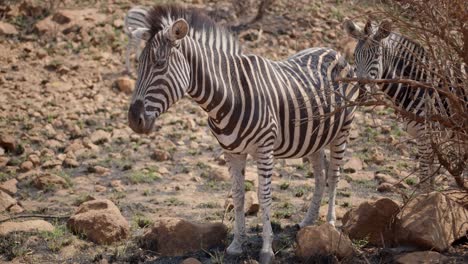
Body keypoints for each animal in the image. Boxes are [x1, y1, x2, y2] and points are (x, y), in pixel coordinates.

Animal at [128, 4, 358, 262]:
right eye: (139, 65)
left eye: (160, 64)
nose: (133, 120)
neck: (231, 93)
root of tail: (333, 51)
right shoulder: (231, 151)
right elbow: (237, 196)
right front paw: (236, 245)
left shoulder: (265, 149)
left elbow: (264, 196)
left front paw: (266, 250)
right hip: (314, 138)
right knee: (320, 174)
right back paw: (308, 221)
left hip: (343, 130)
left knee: (334, 175)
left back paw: (330, 223)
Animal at [342, 20, 466, 190]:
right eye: (354, 56)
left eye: (377, 57)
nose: (361, 93)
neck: (417, 83)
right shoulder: (429, 136)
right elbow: (431, 173)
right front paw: (432, 195)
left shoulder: (426, 133)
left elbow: (424, 174)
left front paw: (426, 196)